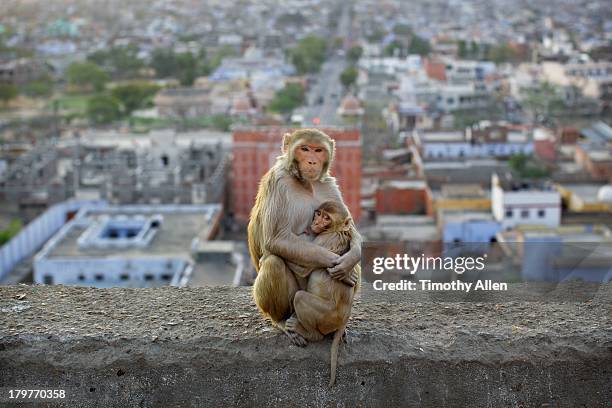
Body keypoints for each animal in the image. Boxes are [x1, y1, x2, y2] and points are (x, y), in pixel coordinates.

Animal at [247, 129, 360, 334]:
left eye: (318, 150)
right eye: (304, 149)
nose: (312, 161)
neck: (305, 183)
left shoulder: (328, 184)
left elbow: (350, 228)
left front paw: (351, 259)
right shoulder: (278, 181)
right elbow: (276, 239)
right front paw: (344, 270)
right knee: (273, 262)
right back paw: (282, 321)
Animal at [286, 201, 360, 386]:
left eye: (326, 218)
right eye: (319, 214)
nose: (316, 222)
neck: (335, 230)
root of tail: (344, 317)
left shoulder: (322, 240)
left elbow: (302, 267)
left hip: (328, 316)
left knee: (300, 297)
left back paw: (308, 332)